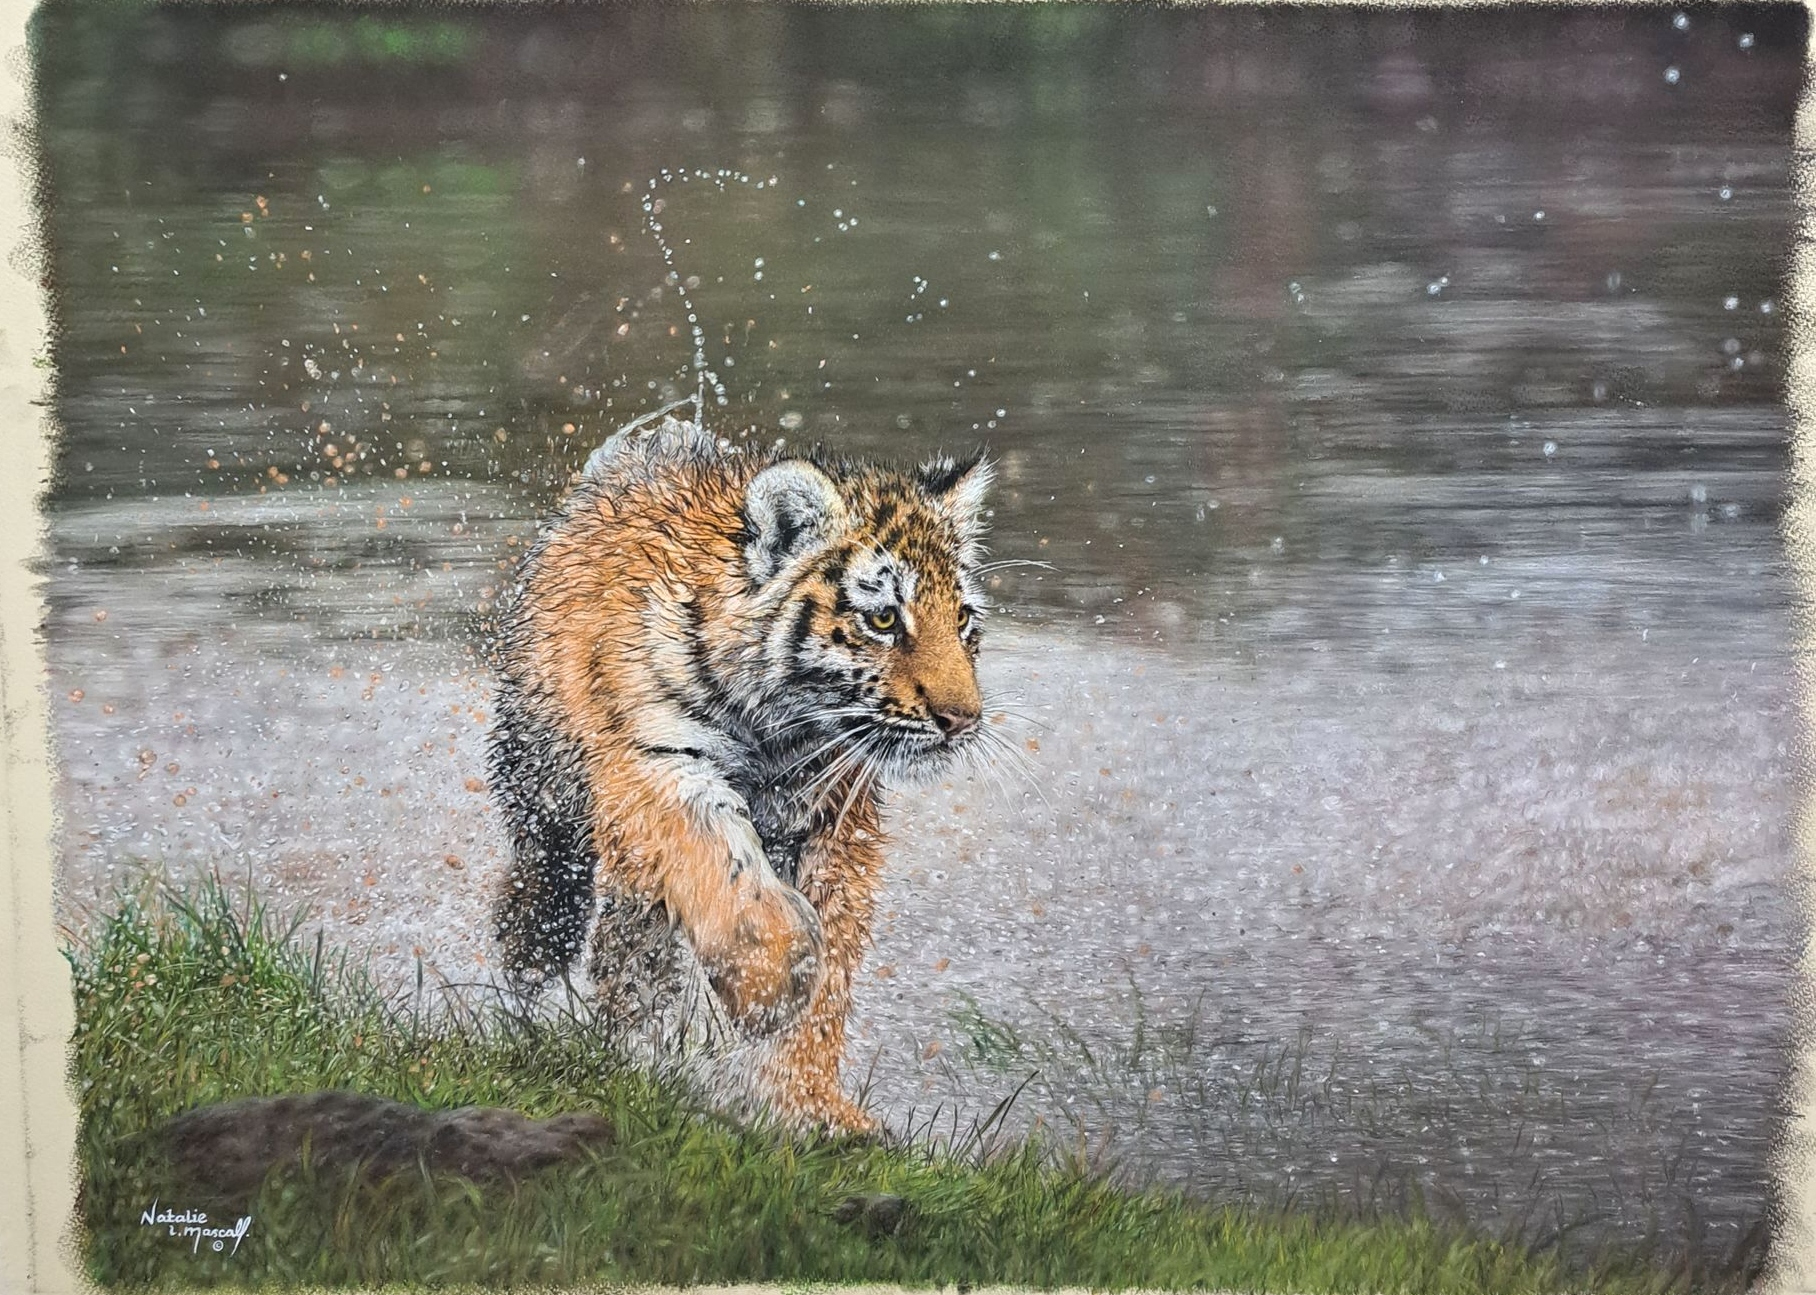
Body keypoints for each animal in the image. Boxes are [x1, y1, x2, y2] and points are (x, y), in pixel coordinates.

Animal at [486, 410, 996, 1134]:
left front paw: (810, 1104)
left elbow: (832, 968)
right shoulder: (655, 768)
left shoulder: (836, 819)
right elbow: (725, 872)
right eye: (883, 618)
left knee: (631, 947)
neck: (781, 725)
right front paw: (770, 987)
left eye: (962, 620)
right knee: (545, 890)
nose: (963, 718)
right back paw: (532, 984)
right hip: (541, 780)